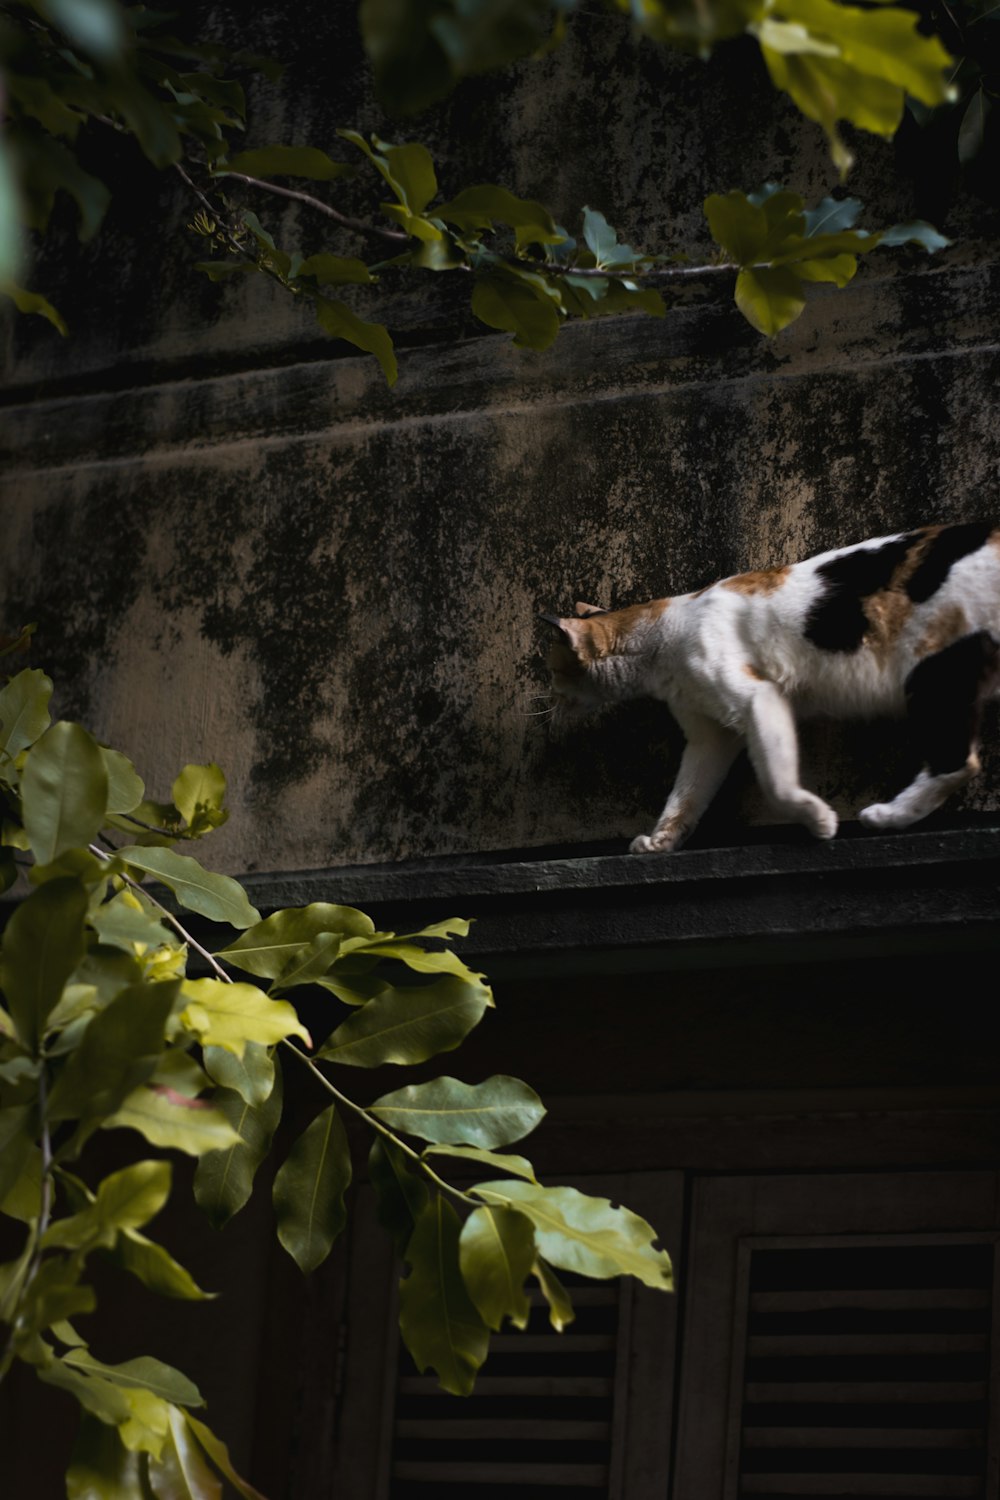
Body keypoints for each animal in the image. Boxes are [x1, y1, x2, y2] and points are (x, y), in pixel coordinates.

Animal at [542, 525, 1000, 858]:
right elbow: (685, 796)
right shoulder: (710, 736)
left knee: (958, 761)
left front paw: (818, 820)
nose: (548, 697)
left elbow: (776, 785)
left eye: (552, 671)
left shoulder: (757, 699)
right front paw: (661, 842)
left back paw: (888, 816)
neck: (659, 638)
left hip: (935, 667)